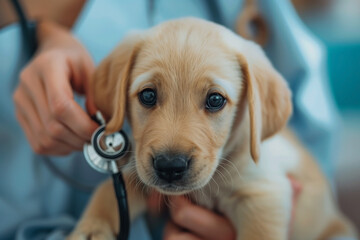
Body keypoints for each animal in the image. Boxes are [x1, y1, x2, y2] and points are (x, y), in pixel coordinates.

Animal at [68, 17, 358, 239]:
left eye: (215, 100)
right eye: (148, 95)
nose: (170, 166)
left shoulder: (263, 192)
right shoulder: (138, 171)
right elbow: (107, 192)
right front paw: (91, 229)